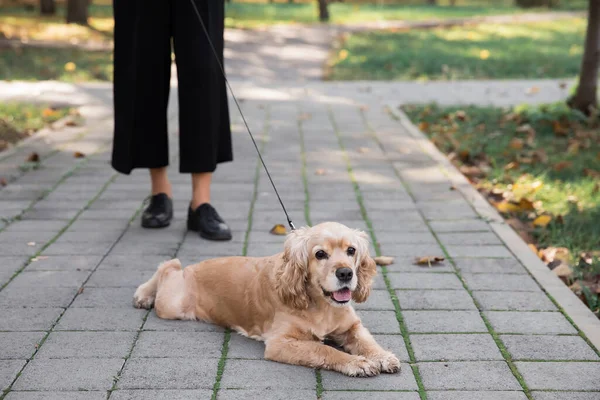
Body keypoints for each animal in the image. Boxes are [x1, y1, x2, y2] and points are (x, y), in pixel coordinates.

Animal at [134, 220, 400, 376]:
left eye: (351, 250)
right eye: (320, 254)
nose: (345, 273)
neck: (321, 305)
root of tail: (194, 268)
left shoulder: (351, 326)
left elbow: (367, 342)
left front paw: (383, 357)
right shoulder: (280, 343)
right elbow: (325, 350)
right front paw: (357, 363)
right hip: (173, 304)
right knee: (168, 265)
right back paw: (143, 294)